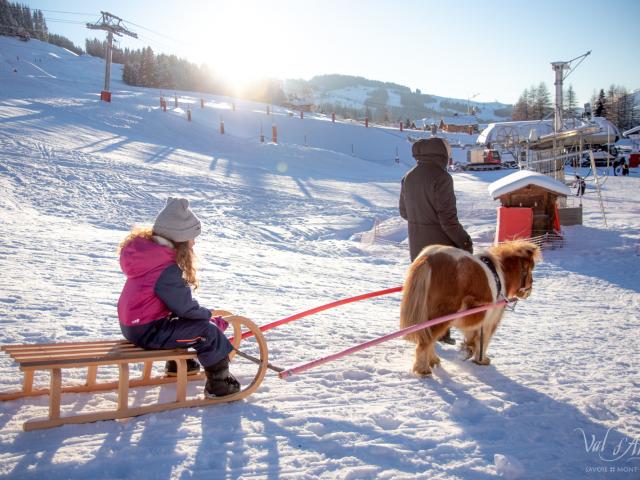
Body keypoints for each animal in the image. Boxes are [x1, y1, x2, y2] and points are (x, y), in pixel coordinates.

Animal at [400, 240, 540, 376]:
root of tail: (428, 258)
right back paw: (423, 369)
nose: (529, 290)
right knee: (425, 343)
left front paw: (469, 350)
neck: (500, 276)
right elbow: (484, 340)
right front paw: (481, 359)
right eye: (530, 269)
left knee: (430, 340)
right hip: (441, 317)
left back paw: (433, 361)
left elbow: (473, 337)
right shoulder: (491, 320)